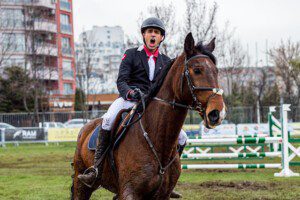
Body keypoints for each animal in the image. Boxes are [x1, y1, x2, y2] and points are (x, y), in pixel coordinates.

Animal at [70, 33, 225, 200]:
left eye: (216, 71)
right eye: (197, 70)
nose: (217, 113)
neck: (156, 138)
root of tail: (85, 128)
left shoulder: (162, 194)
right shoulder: (130, 192)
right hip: (82, 182)